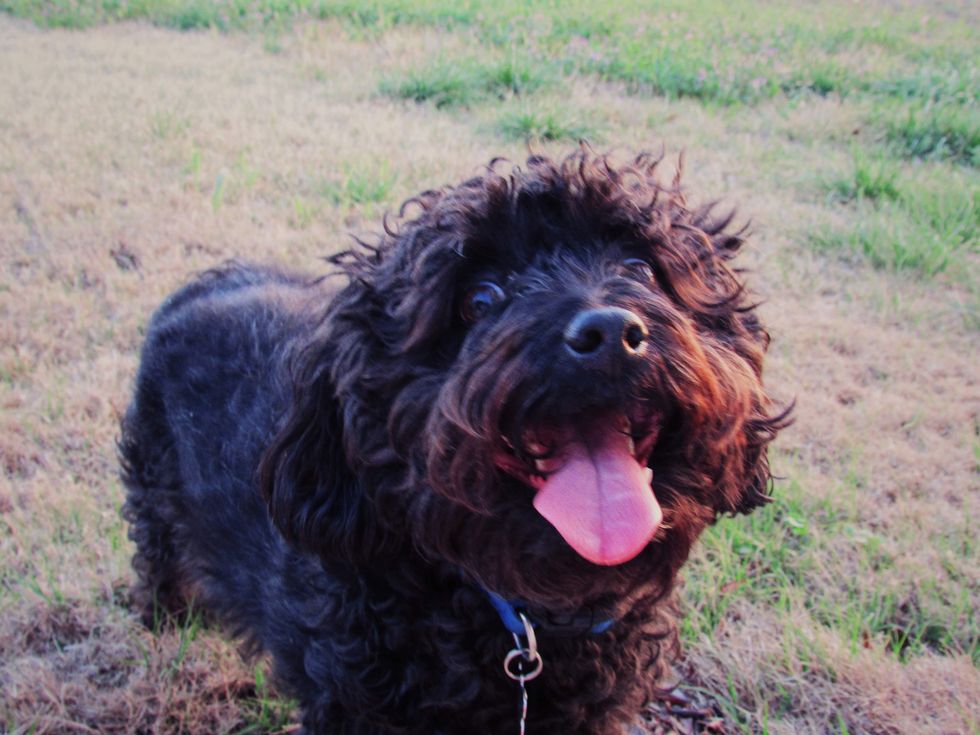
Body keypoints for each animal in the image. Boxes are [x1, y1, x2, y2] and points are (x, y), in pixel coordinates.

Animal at [120, 149, 788, 734]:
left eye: (642, 269)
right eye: (479, 299)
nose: (609, 332)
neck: (518, 615)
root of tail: (206, 282)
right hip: (153, 481)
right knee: (158, 551)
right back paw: (166, 617)